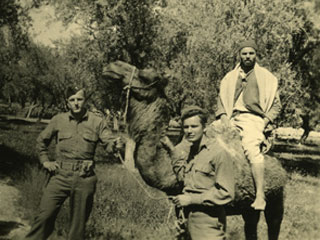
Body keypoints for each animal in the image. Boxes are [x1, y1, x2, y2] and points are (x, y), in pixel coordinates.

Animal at [102, 61, 288, 240]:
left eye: (145, 76)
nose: (112, 66)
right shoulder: (178, 204)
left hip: (276, 198)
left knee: (274, 224)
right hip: (248, 207)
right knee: (251, 226)